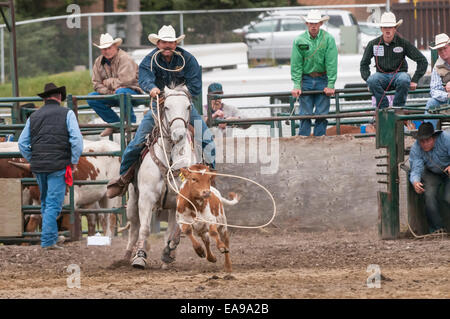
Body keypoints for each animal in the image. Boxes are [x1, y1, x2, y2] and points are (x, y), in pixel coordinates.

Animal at [125, 84, 199, 268]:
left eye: (188, 106)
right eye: (166, 107)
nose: (178, 135)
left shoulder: (183, 199)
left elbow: (179, 229)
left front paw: (168, 252)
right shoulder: (146, 198)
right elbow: (144, 229)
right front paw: (140, 257)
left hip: (171, 207)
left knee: (170, 227)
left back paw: (168, 258)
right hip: (132, 201)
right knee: (134, 228)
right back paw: (127, 255)